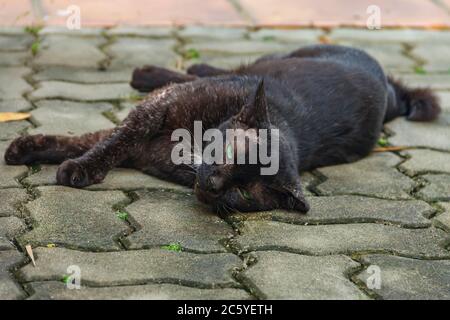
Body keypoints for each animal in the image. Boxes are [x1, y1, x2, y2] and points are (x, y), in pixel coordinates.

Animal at [3, 44, 440, 212]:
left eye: (245, 192)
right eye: (229, 153)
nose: (214, 185)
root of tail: (389, 90)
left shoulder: (145, 145)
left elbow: (91, 139)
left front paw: (39, 149)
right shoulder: (155, 111)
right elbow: (109, 140)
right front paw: (73, 164)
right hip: (270, 61)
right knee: (215, 69)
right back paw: (149, 72)